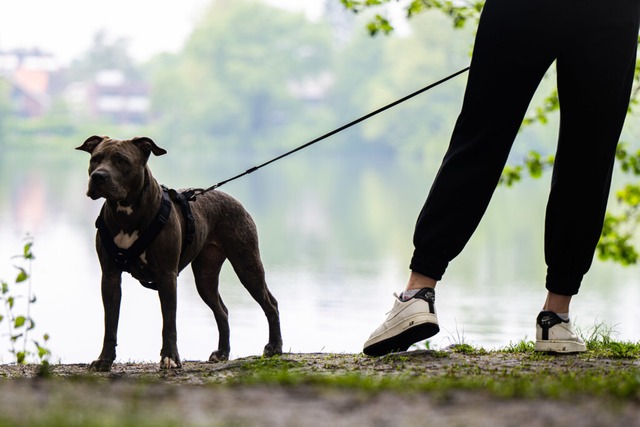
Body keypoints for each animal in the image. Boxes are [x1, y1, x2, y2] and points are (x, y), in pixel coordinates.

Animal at [77, 136, 282, 372]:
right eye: (95, 159)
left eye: (122, 161)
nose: (98, 176)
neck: (126, 214)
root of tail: (229, 196)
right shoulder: (110, 277)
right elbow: (110, 324)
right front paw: (104, 360)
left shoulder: (167, 275)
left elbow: (169, 322)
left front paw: (170, 358)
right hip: (205, 276)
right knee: (222, 311)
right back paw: (222, 352)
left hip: (246, 264)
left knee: (270, 304)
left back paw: (275, 347)